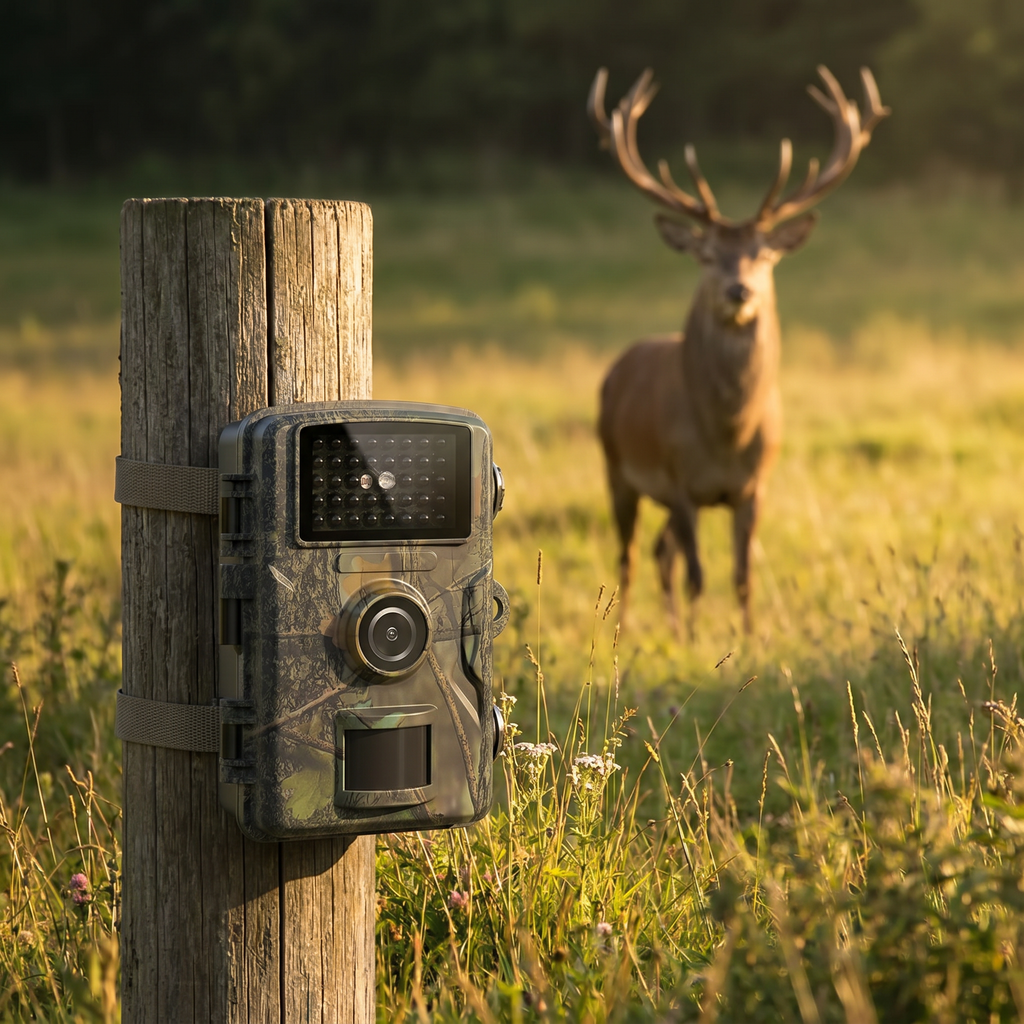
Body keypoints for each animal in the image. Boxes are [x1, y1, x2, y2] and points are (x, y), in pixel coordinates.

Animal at [589, 65, 888, 638]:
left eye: (765, 254)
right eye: (707, 254)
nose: (739, 290)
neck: (726, 433)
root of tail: (619, 366)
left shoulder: (754, 486)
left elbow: (742, 573)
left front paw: (746, 639)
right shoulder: (680, 480)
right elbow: (699, 575)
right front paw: (694, 642)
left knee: (660, 552)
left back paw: (668, 626)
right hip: (617, 467)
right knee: (630, 556)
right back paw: (626, 629)